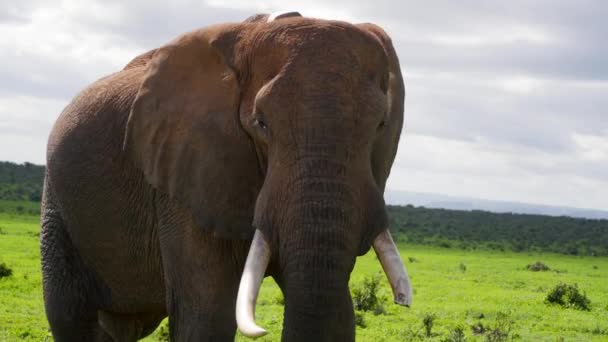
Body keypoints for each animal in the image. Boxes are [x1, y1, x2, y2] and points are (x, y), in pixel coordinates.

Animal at [41, 11, 414, 342]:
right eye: (260, 123)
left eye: (381, 125)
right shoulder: (188, 170)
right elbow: (207, 315)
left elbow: (338, 315)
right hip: (58, 204)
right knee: (71, 317)